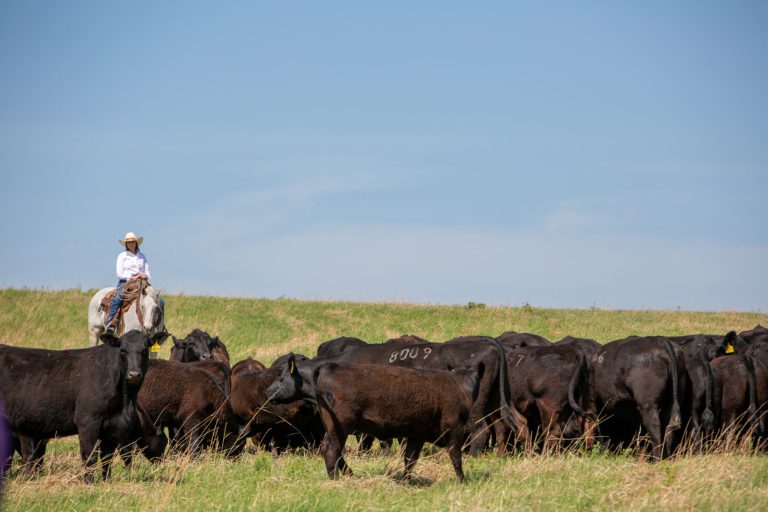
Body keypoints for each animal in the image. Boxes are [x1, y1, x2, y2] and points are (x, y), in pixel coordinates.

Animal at [0, 330, 166, 482]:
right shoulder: (88, 421)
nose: (134, 374)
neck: (125, 401)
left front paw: (106, 481)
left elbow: (107, 457)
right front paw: (88, 482)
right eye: (122, 351)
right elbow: (89, 456)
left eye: (145, 350)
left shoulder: (112, 425)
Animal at [266, 354, 480, 481]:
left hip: (334, 427)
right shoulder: (454, 429)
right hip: (340, 426)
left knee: (332, 449)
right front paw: (462, 481)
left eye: (281, 377)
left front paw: (405, 480)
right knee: (331, 449)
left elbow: (410, 459)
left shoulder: (417, 435)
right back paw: (335, 479)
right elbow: (455, 456)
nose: (267, 392)